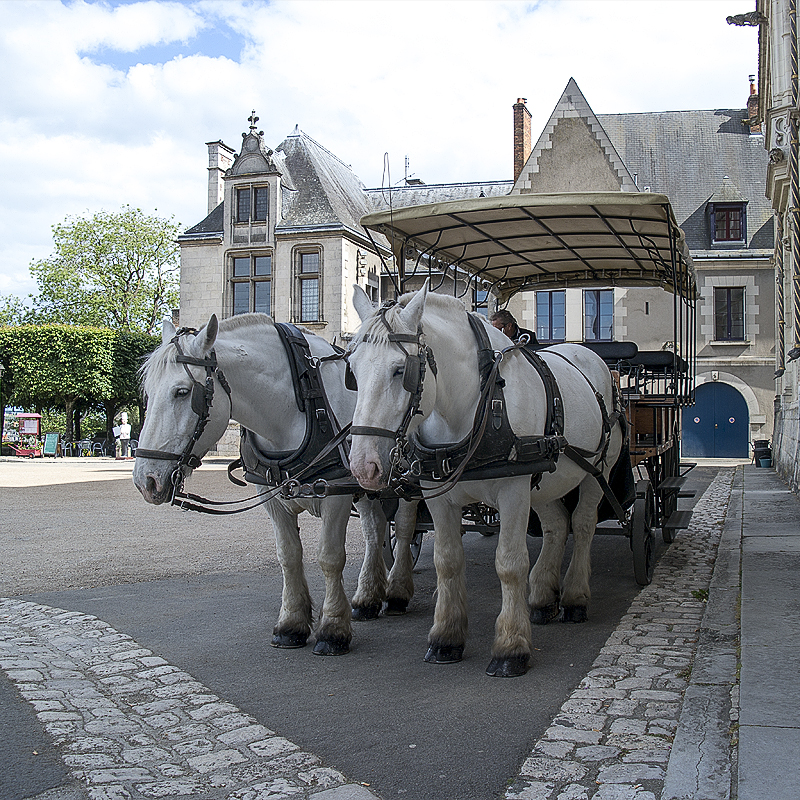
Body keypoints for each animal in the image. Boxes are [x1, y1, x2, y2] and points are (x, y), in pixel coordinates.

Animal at [131, 312, 412, 656]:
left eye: (183, 392)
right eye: (147, 391)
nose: (146, 480)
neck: (298, 403)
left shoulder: (336, 492)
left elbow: (330, 557)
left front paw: (332, 628)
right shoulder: (271, 495)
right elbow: (288, 555)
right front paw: (292, 623)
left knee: (405, 527)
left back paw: (397, 591)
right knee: (375, 530)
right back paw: (368, 598)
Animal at [350, 286, 624, 676]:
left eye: (401, 370)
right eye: (352, 371)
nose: (363, 467)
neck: (470, 404)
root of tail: (589, 355)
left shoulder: (513, 492)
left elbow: (510, 564)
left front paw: (511, 647)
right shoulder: (437, 495)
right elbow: (447, 561)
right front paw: (446, 637)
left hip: (596, 470)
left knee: (583, 524)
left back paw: (573, 597)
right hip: (545, 481)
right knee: (557, 525)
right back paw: (543, 597)